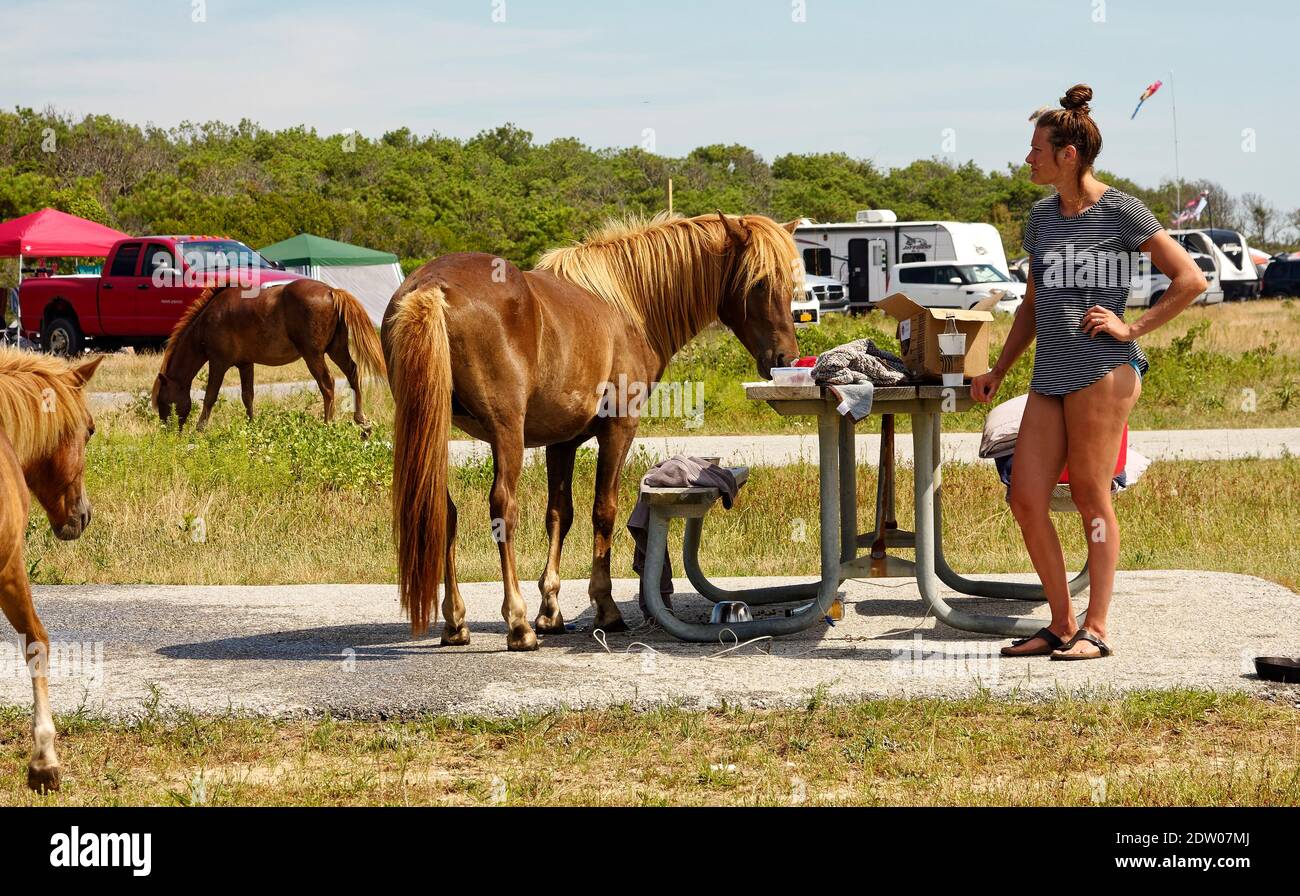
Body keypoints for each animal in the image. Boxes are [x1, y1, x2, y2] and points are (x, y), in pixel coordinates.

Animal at [152, 279, 386, 433]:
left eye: (164, 402)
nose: (168, 432)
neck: (208, 321)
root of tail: (331, 292)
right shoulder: (246, 364)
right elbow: (247, 396)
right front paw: (251, 426)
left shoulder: (218, 363)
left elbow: (210, 396)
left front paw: (200, 428)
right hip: (336, 349)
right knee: (352, 374)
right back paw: (362, 422)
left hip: (313, 355)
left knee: (327, 385)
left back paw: (327, 425)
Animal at [383, 211, 801, 651]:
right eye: (759, 282)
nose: (785, 358)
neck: (627, 306)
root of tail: (433, 286)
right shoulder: (618, 429)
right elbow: (604, 512)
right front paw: (605, 607)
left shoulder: (561, 442)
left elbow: (558, 515)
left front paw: (550, 610)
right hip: (506, 432)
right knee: (503, 510)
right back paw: (517, 624)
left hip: (437, 430)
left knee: (444, 512)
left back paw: (455, 622)